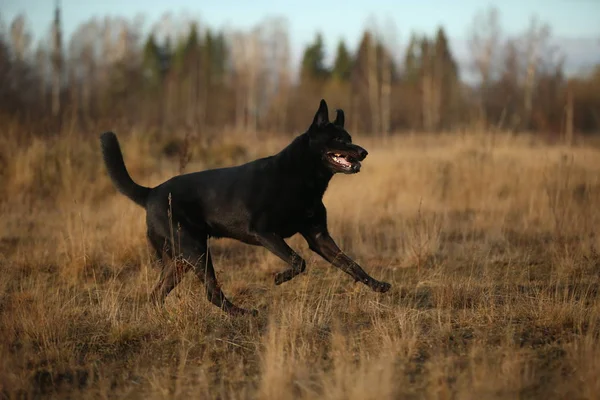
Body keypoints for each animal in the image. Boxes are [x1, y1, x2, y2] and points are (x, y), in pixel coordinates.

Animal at [101, 98, 392, 314]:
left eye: (350, 137)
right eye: (339, 140)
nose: (363, 152)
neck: (302, 177)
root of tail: (150, 193)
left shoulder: (319, 236)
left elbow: (352, 264)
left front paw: (377, 284)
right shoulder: (264, 232)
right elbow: (298, 261)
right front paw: (280, 278)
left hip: (180, 259)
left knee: (158, 294)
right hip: (196, 251)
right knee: (212, 292)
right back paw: (242, 313)